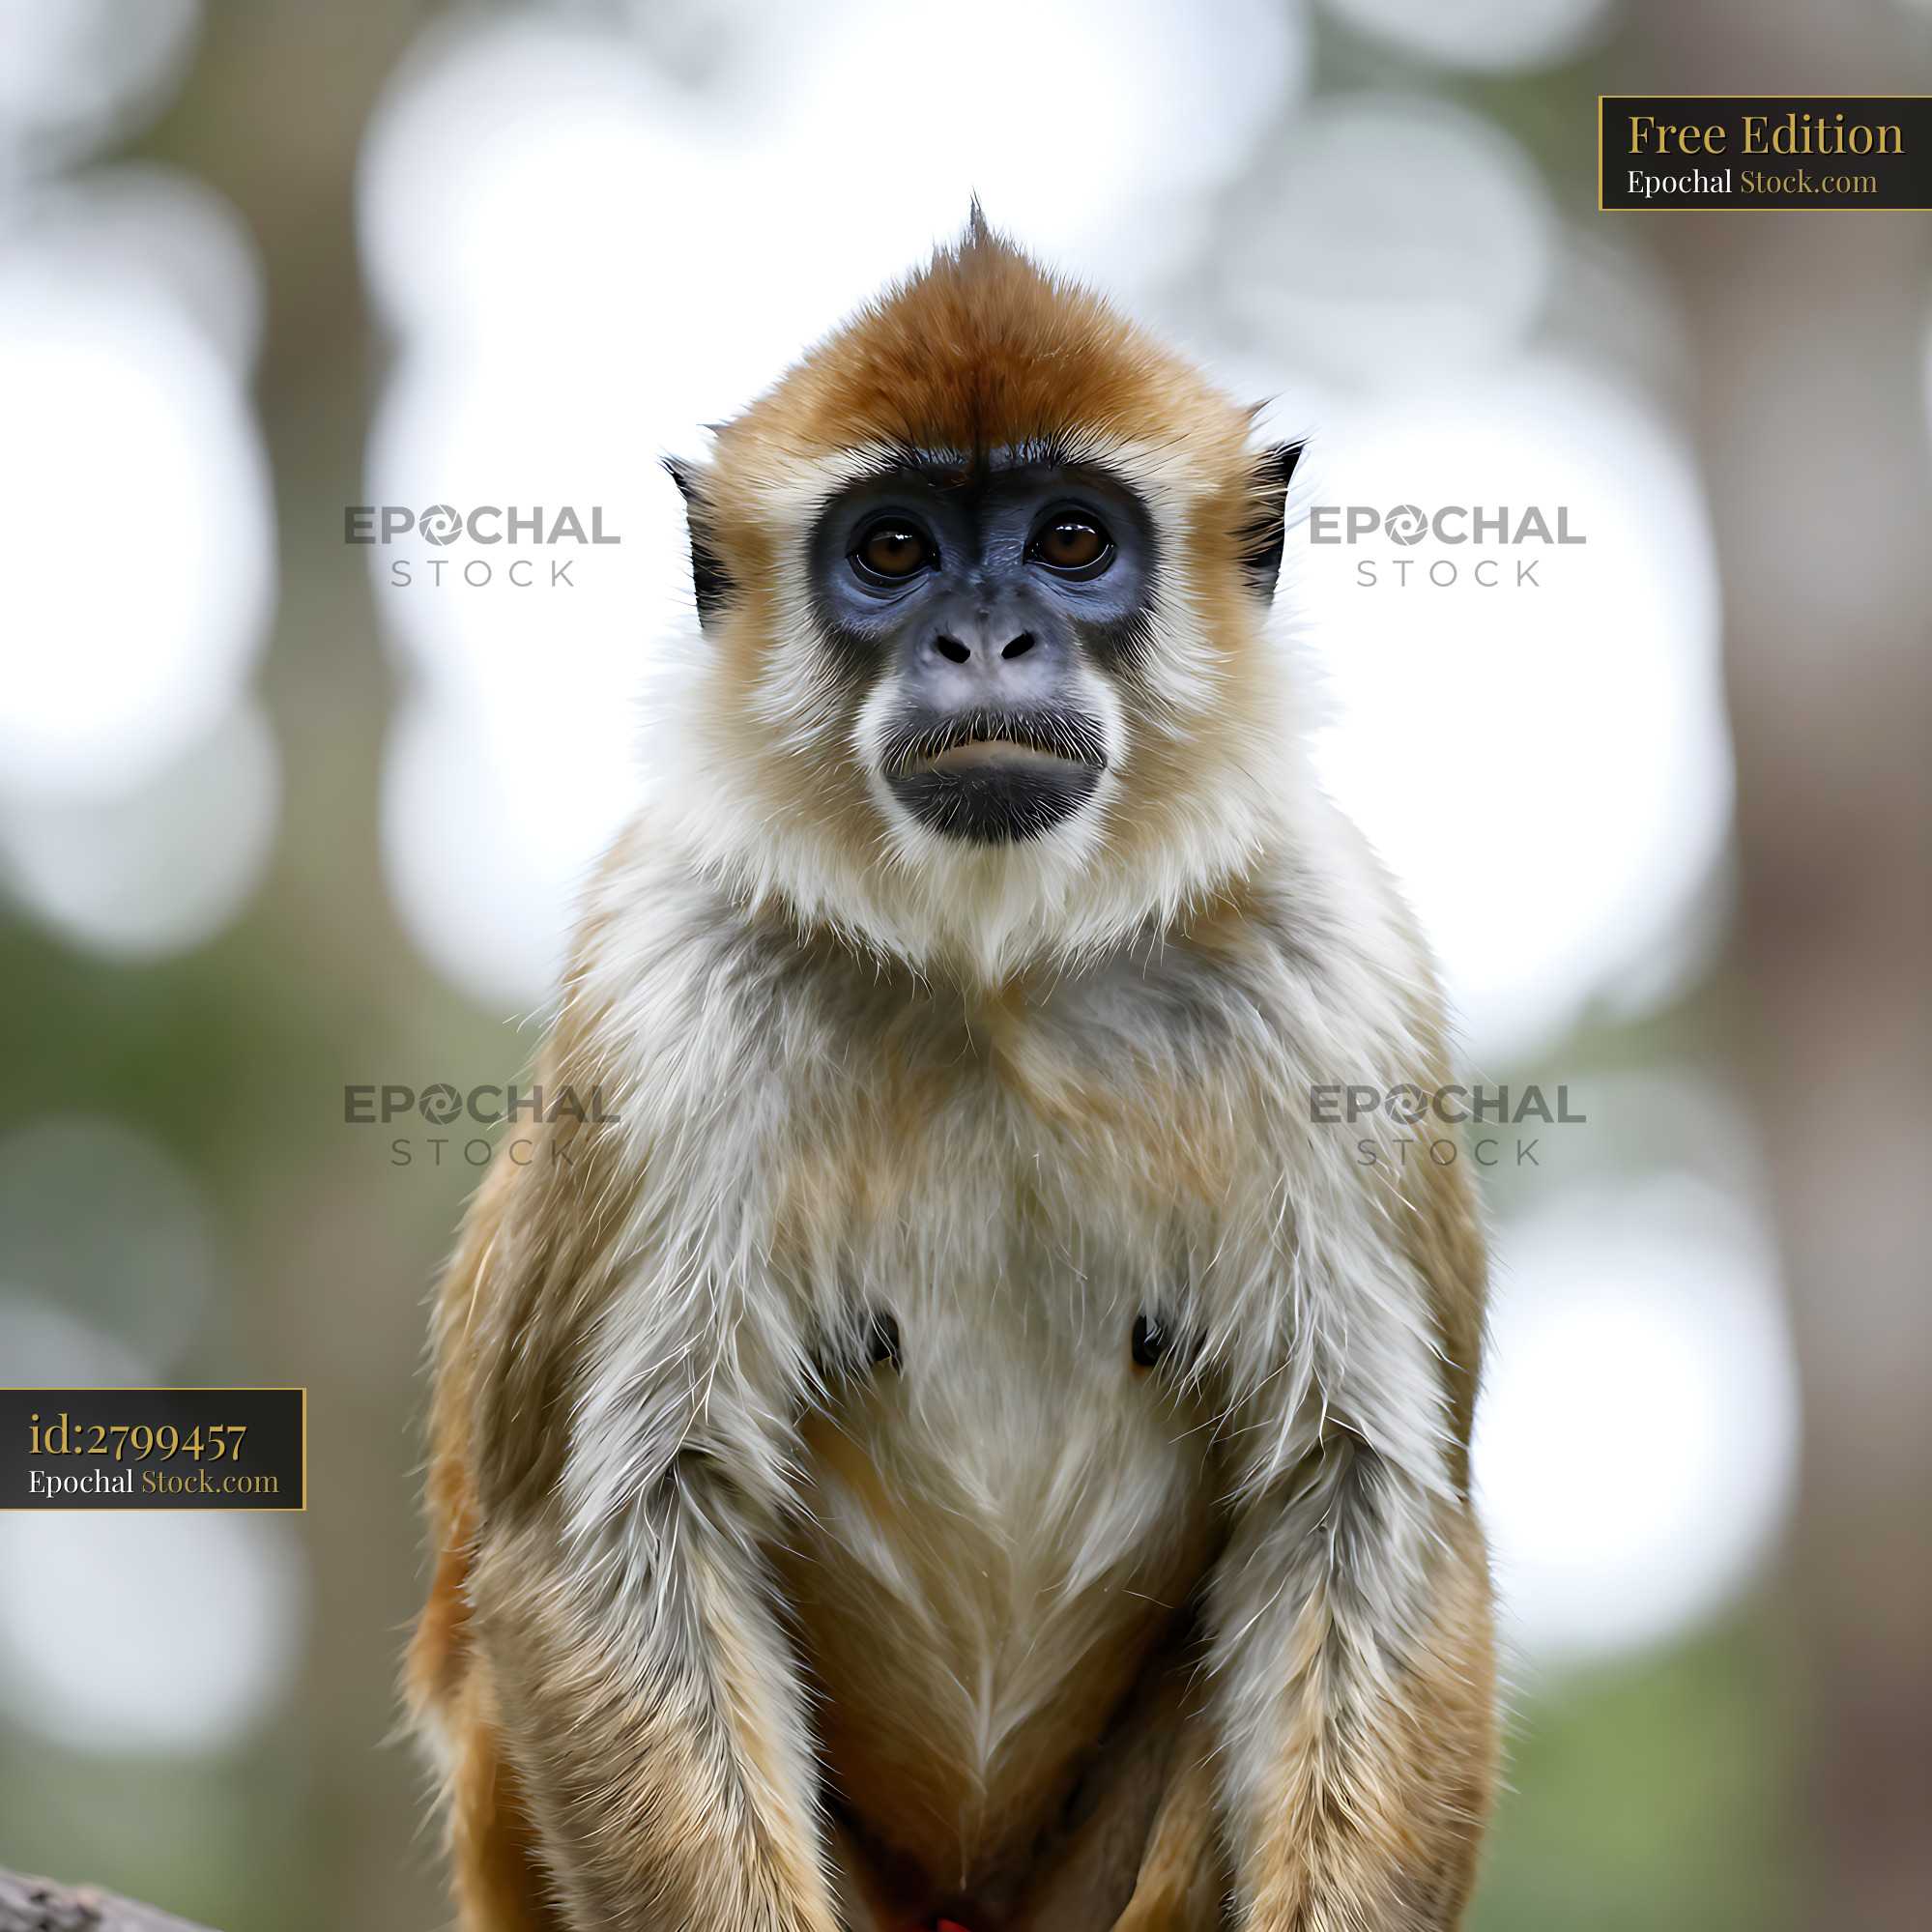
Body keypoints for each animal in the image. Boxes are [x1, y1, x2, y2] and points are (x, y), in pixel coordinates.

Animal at [407, 211, 1495, 1932]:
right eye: (894, 552)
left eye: (1070, 540)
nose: (984, 636)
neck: (995, 979)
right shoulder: (662, 976)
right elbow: (591, 1541)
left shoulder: (1335, 967)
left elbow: (1365, 1501)